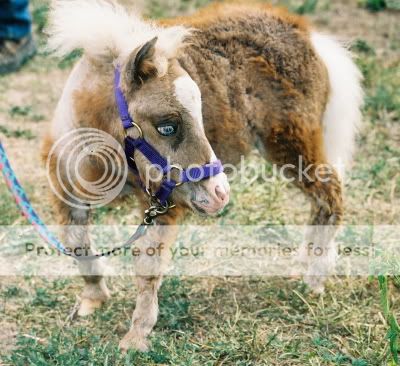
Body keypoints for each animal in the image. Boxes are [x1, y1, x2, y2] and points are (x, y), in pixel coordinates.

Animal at [43, 0, 362, 350]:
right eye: (167, 125)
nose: (220, 194)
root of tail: (309, 36)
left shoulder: (162, 204)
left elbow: (147, 264)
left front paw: (136, 337)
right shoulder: (68, 192)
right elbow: (76, 243)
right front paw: (93, 300)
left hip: (292, 145)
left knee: (330, 195)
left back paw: (314, 278)